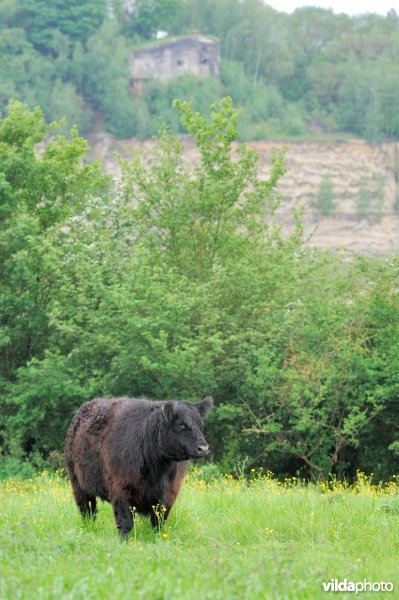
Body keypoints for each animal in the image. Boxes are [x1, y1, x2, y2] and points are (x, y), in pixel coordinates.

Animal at [64, 396, 214, 536]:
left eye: (201, 425)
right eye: (181, 425)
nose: (203, 448)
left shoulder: (169, 493)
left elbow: (158, 522)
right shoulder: (120, 489)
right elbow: (126, 522)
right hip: (78, 484)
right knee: (88, 511)